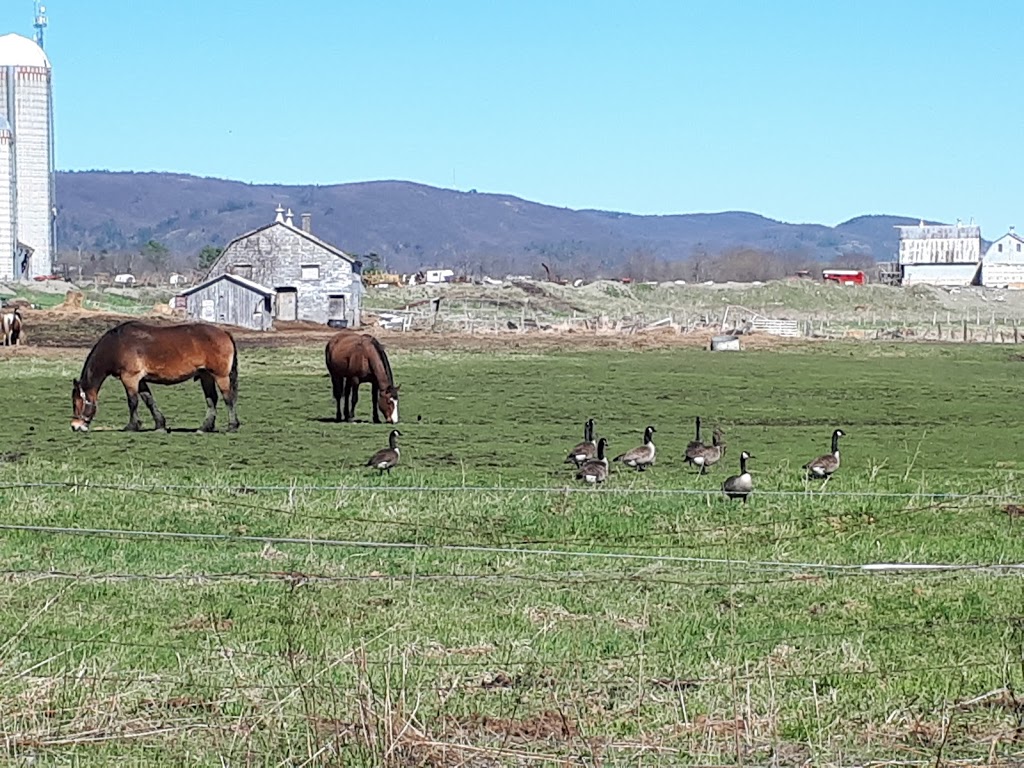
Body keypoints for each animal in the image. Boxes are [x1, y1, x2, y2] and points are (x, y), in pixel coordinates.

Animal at [71, 321, 240, 436]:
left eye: (77, 402)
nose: (74, 426)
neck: (117, 345)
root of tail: (224, 332)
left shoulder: (130, 378)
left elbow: (132, 402)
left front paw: (132, 426)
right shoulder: (140, 381)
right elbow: (149, 401)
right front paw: (160, 425)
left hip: (220, 376)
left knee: (228, 398)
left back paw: (232, 426)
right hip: (206, 376)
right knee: (212, 399)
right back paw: (204, 427)